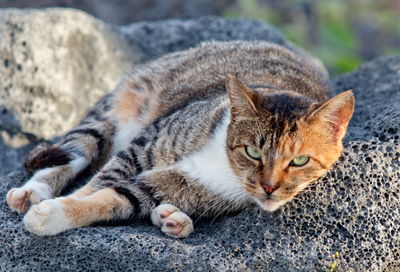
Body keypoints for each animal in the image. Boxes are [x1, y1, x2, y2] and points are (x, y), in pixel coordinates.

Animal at [5, 41, 354, 238]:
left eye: (299, 160)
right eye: (253, 152)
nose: (269, 187)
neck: (223, 159)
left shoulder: (178, 189)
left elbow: (115, 198)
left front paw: (53, 215)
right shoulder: (147, 142)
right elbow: (100, 182)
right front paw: (52, 206)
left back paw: (172, 218)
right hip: (119, 108)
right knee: (78, 148)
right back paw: (32, 191)